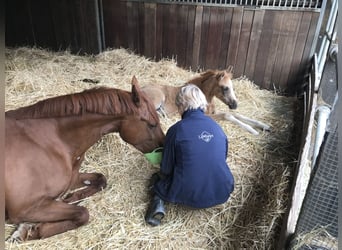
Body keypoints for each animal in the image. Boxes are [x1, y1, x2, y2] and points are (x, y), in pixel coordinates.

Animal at [5, 75, 166, 240]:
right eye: (152, 124)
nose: (164, 146)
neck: (50, 140)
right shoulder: (25, 209)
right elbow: (83, 213)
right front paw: (32, 231)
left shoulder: (71, 180)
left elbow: (101, 180)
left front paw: (71, 198)